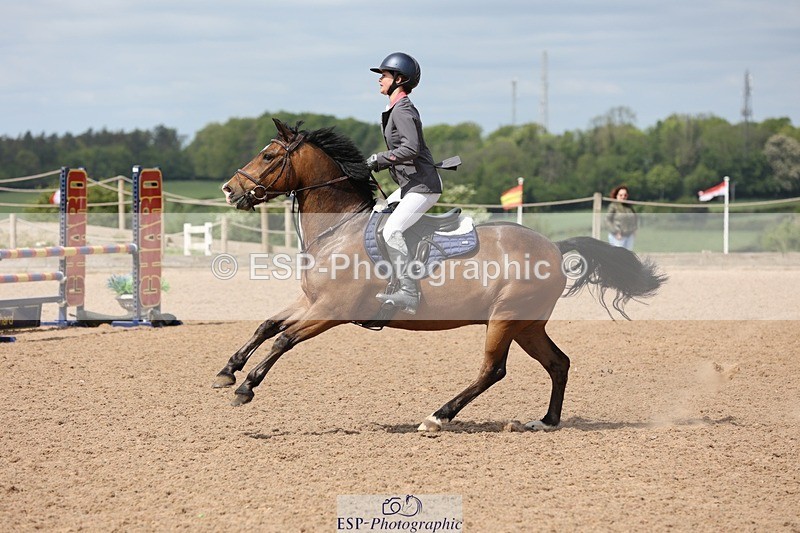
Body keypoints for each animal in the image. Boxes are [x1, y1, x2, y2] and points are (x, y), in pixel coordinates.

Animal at [214, 118, 666, 432]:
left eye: (269, 156)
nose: (229, 189)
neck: (337, 229)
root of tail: (554, 248)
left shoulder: (332, 310)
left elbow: (284, 340)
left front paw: (246, 387)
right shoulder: (311, 301)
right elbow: (267, 325)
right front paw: (227, 370)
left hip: (506, 320)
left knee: (493, 370)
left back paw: (437, 416)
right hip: (527, 325)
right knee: (558, 363)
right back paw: (546, 421)